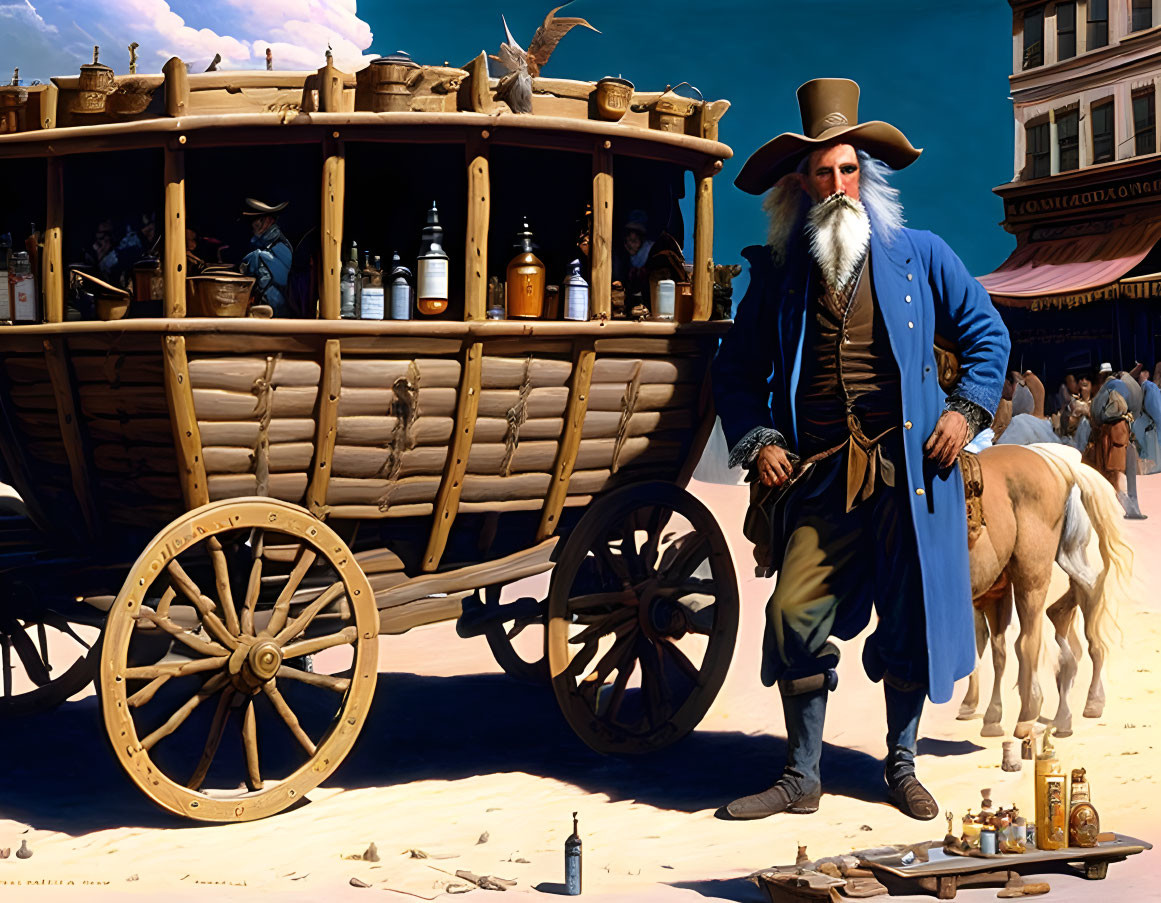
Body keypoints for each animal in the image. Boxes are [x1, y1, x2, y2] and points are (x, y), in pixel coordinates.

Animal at [952, 438, 1133, 733]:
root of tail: (1059, 465)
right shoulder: (987, 595)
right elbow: (987, 647)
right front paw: (978, 709)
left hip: (1045, 579)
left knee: (1050, 640)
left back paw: (1069, 707)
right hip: (1058, 582)